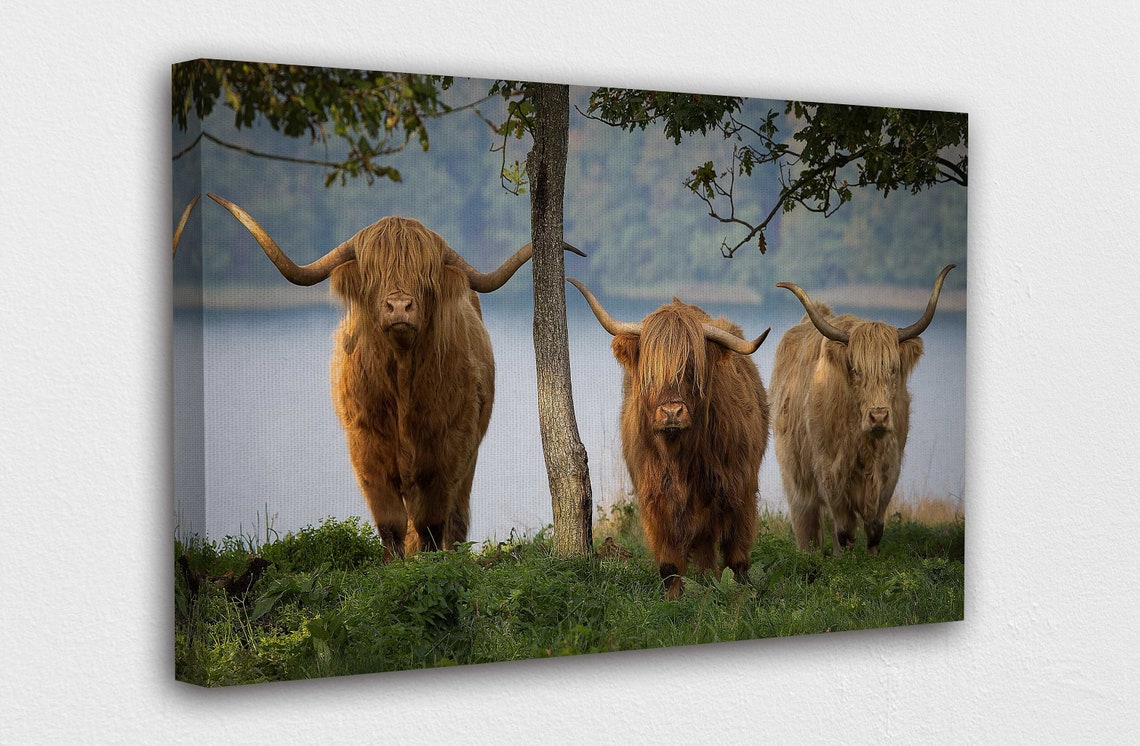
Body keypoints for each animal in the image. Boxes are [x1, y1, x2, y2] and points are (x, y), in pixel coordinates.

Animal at [208, 193, 583, 561]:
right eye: (372, 273)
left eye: (425, 275)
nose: (400, 306)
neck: (402, 383)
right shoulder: (367, 448)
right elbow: (391, 521)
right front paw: (393, 564)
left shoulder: (446, 451)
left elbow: (431, 522)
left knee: (456, 516)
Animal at [568, 278, 770, 599]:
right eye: (651, 370)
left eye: (691, 368)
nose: (672, 411)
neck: (680, 459)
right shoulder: (655, 501)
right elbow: (669, 562)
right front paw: (672, 599)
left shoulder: (740, 491)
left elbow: (736, 553)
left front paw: (739, 592)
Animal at [770, 264, 956, 555]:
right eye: (855, 370)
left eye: (893, 368)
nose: (878, 416)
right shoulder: (830, 474)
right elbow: (844, 531)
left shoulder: (890, 472)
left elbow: (874, 530)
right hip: (796, 476)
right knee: (807, 524)